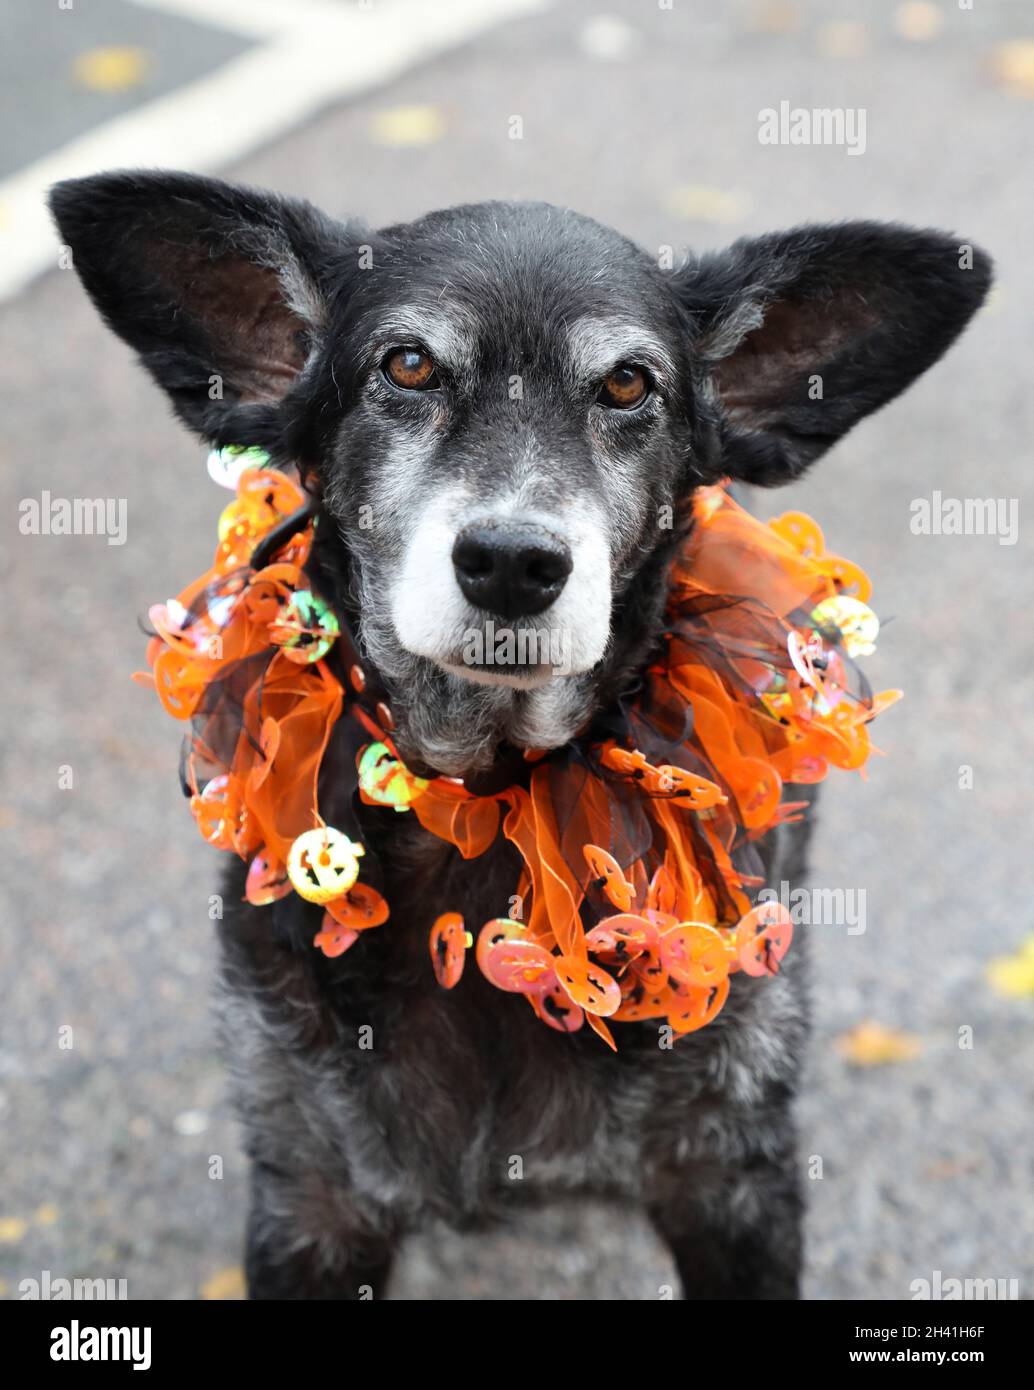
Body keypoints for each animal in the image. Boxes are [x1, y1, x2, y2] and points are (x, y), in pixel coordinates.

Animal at [52, 170, 989, 1289]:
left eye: (627, 384)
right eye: (407, 364)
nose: (510, 562)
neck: (487, 798)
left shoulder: (730, 1181)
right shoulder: (311, 1199)